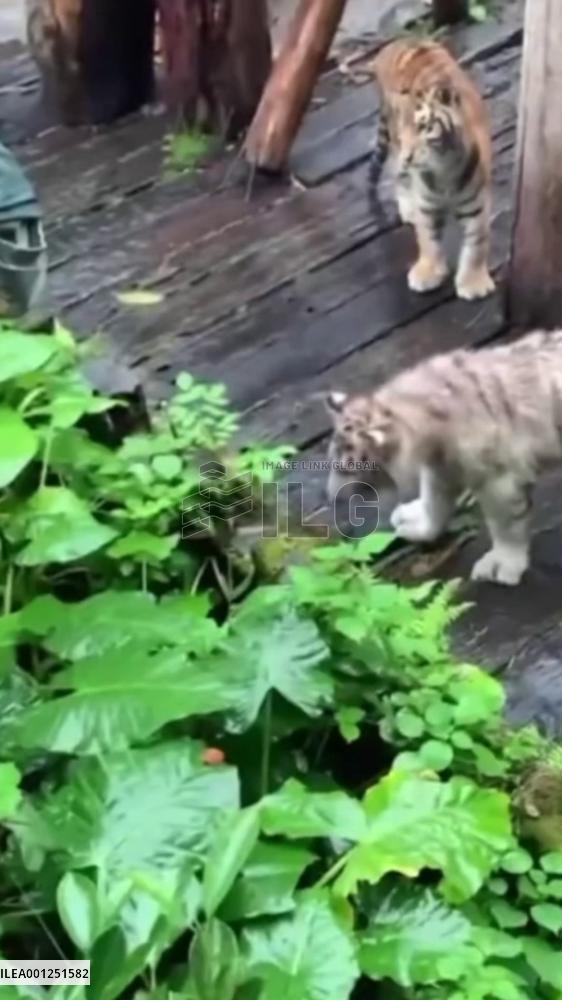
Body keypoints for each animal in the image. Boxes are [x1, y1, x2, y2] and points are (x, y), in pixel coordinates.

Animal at [324, 331, 562, 587]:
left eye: (350, 469)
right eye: (332, 462)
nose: (331, 497)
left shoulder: (498, 479)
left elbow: (505, 524)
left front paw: (502, 563)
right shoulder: (442, 466)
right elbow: (434, 502)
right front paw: (417, 523)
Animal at [367, 38, 495, 302]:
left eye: (423, 128)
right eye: (403, 133)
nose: (407, 156)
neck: (443, 170)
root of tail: (396, 43)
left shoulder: (478, 205)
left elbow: (477, 244)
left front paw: (473, 283)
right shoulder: (426, 204)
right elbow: (427, 239)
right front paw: (427, 273)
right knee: (400, 179)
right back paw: (408, 208)